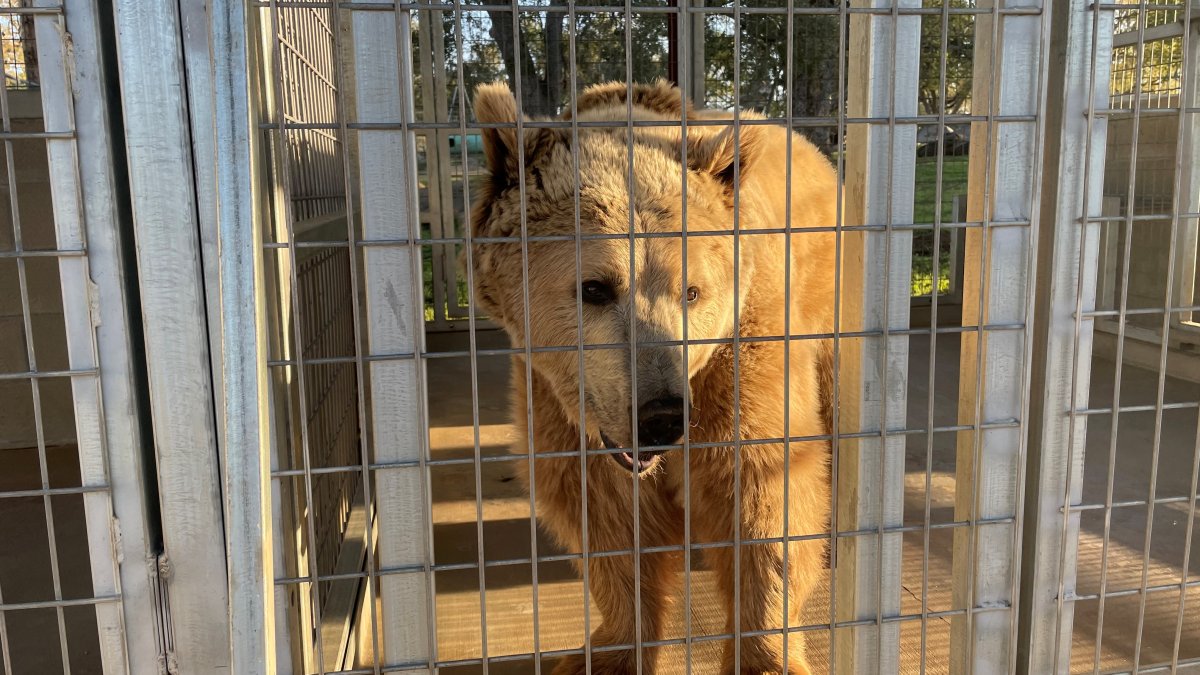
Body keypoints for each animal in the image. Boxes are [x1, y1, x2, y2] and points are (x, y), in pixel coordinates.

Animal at [467, 79, 837, 675]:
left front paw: (765, 655)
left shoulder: (742, 354)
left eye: (692, 290)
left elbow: (764, 493)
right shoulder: (560, 396)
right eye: (595, 287)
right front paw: (610, 650)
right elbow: (603, 512)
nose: (662, 415)